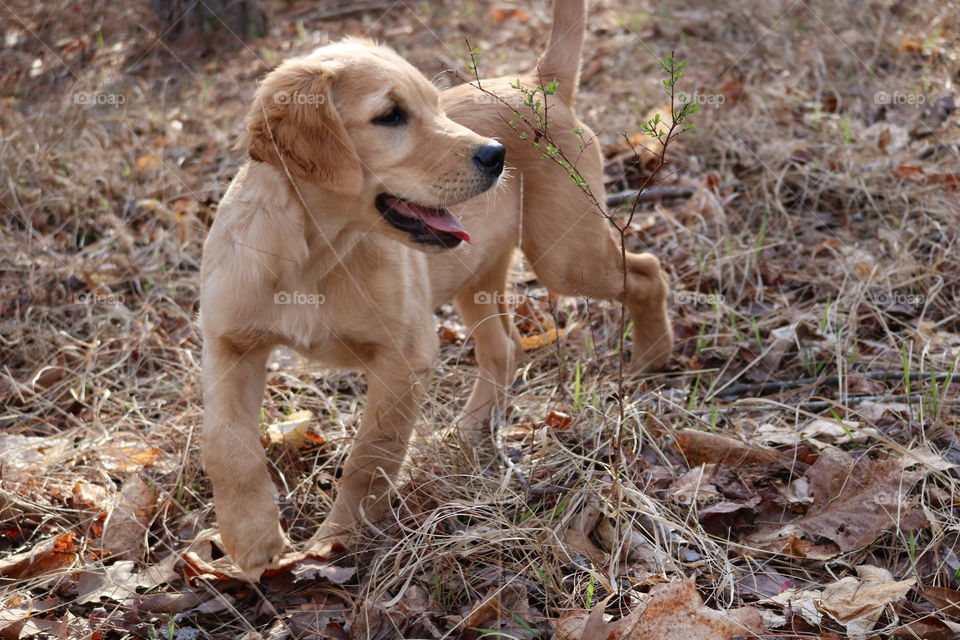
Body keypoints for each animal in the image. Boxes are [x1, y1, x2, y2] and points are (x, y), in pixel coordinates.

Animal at [201, 0, 676, 580]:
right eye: (390, 116)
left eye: (434, 105)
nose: (496, 155)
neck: (313, 256)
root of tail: (539, 83)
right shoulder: (230, 343)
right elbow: (226, 446)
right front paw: (250, 539)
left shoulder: (405, 355)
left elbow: (370, 456)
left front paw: (335, 541)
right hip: (479, 274)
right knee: (504, 348)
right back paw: (469, 433)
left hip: (567, 257)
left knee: (649, 271)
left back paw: (653, 356)